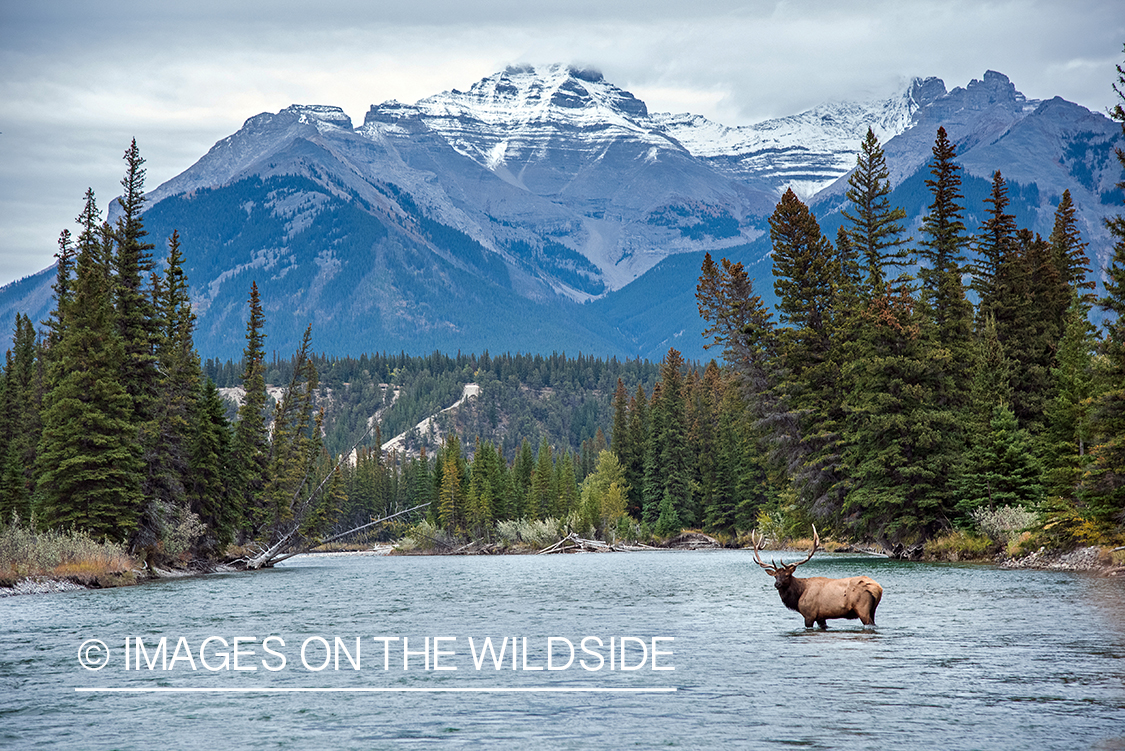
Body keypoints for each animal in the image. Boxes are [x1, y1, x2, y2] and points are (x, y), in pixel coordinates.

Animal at [751, 528, 882, 629]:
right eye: (775, 576)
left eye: (787, 575)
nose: (777, 584)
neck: (798, 595)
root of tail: (877, 588)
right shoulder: (821, 616)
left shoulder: (809, 614)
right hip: (872, 610)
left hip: (862, 608)